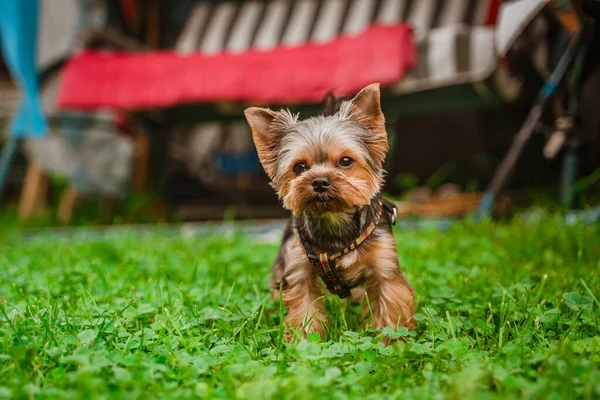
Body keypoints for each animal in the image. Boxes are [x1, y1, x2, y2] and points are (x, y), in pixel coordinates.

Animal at [244, 83, 412, 338]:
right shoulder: (298, 268)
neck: (335, 219)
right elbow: (304, 308)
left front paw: (391, 341)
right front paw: (303, 340)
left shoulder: (384, 267)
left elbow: (389, 307)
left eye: (346, 161)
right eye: (300, 167)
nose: (320, 181)